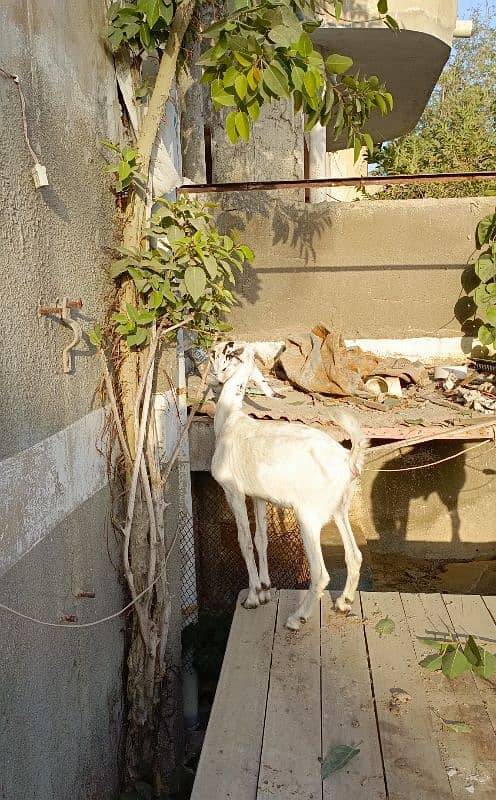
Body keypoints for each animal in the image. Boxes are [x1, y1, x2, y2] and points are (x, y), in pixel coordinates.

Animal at [209, 340, 368, 628]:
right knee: (354, 555)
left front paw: (252, 597)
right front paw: (265, 589)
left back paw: (297, 617)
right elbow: (261, 538)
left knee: (321, 574)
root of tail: (347, 459)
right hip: (340, 509)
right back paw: (343, 603)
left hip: (308, 517)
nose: (215, 378)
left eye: (221, 354)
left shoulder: (232, 491)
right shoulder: (258, 496)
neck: (230, 421)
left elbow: (244, 540)